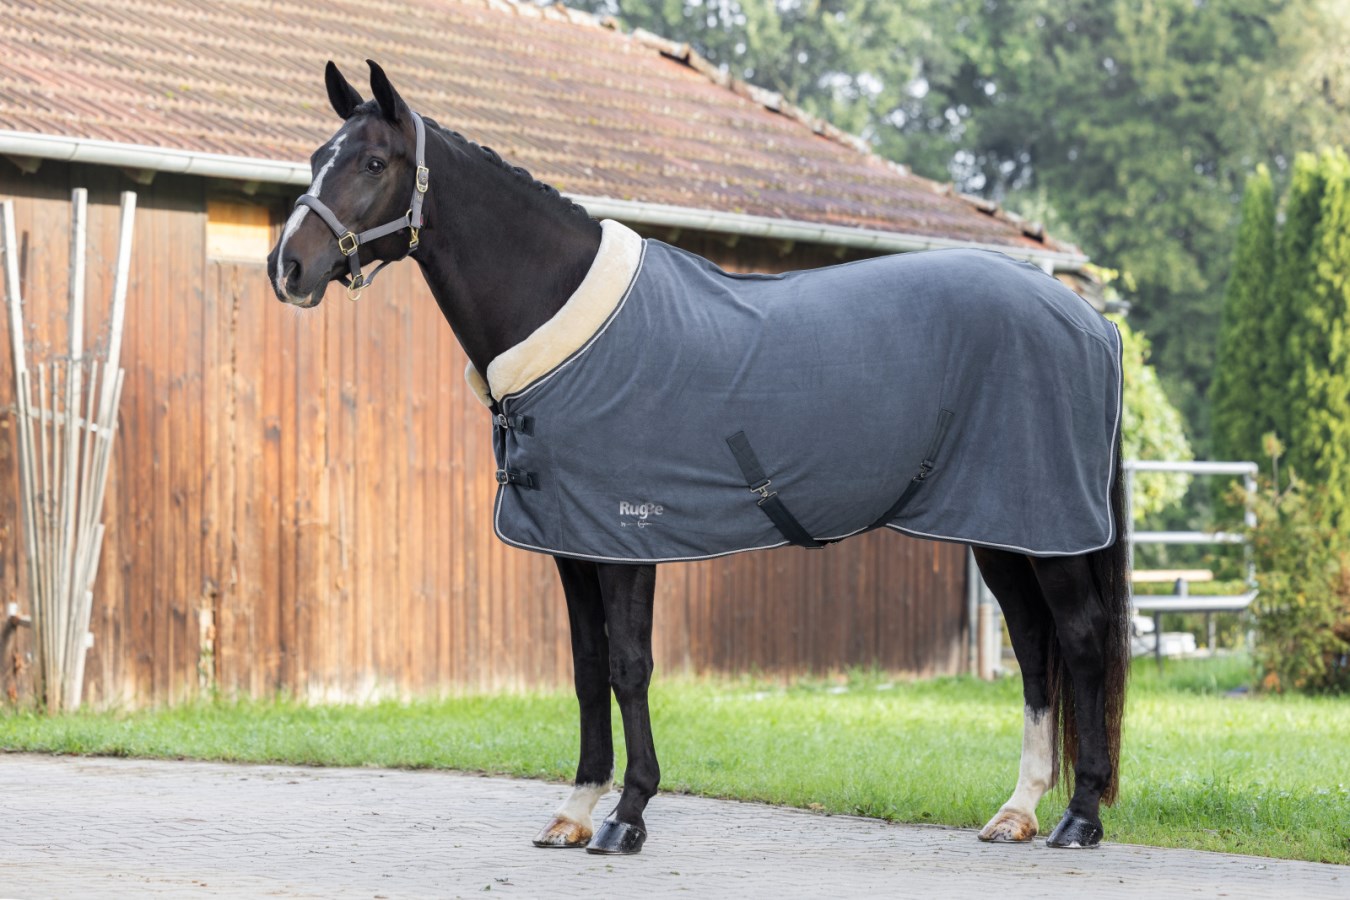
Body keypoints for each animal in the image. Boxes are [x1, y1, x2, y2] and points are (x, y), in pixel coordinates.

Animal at [267, 60, 1130, 856]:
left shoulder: (625, 539)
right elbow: (585, 667)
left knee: (1082, 639)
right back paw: (1018, 810)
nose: (288, 268)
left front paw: (627, 817)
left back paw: (1079, 817)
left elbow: (629, 666)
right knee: (1033, 648)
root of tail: (1089, 320)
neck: (564, 320)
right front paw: (574, 812)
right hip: (1003, 529)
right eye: (315, 155)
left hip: (1047, 529)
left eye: (373, 162)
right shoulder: (572, 545)